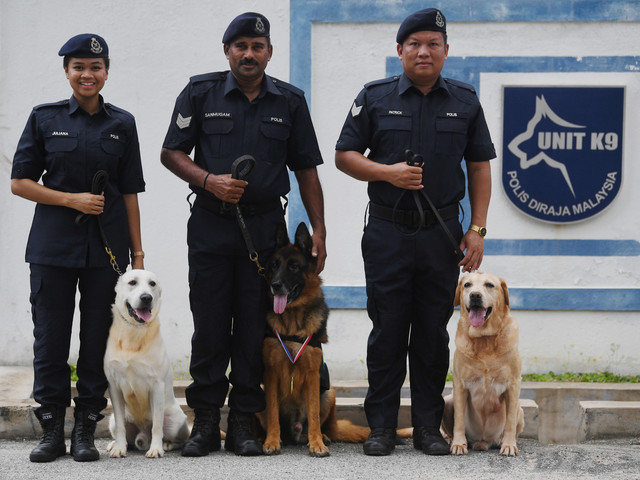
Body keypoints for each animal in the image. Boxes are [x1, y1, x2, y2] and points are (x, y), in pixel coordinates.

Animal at [104, 270, 189, 458]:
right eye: (132, 282)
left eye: (152, 284)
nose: (146, 297)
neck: (134, 332)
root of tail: (143, 433)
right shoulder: (114, 387)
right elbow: (120, 427)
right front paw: (119, 448)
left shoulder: (156, 386)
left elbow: (156, 426)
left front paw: (156, 449)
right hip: (112, 419)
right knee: (125, 433)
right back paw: (114, 444)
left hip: (175, 420)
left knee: (175, 437)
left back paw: (166, 444)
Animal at [258, 223, 370, 456]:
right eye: (274, 265)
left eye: (293, 267)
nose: (275, 284)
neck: (292, 322)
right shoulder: (270, 374)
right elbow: (273, 413)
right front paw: (271, 441)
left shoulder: (312, 375)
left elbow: (314, 415)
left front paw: (316, 443)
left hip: (330, 393)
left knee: (322, 424)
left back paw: (322, 437)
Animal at [440, 274, 524, 458]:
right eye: (467, 285)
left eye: (489, 285)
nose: (475, 295)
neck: (484, 339)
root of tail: (483, 442)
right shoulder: (460, 384)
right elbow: (459, 422)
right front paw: (459, 444)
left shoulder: (513, 385)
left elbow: (510, 423)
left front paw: (509, 445)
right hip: (448, 401)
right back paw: (449, 440)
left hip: (520, 409)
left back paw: (502, 441)